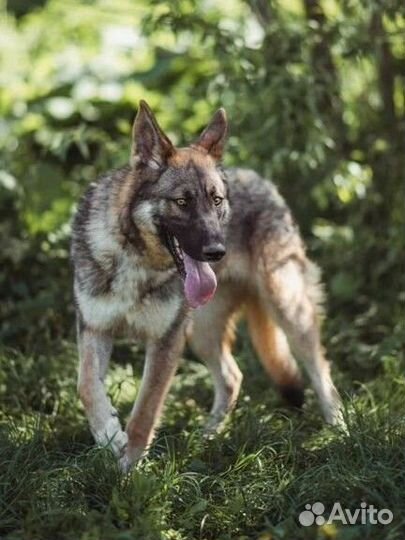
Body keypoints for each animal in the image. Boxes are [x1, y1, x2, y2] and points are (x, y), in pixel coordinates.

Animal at [71, 101, 342, 472]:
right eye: (182, 202)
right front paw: (109, 435)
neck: (137, 260)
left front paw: (129, 471)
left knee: (320, 370)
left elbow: (144, 412)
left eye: (216, 201)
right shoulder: (95, 328)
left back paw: (340, 431)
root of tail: (261, 179)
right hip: (200, 333)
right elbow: (86, 386)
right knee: (232, 377)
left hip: (287, 310)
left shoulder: (165, 343)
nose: (217, 251)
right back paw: (207, 437)